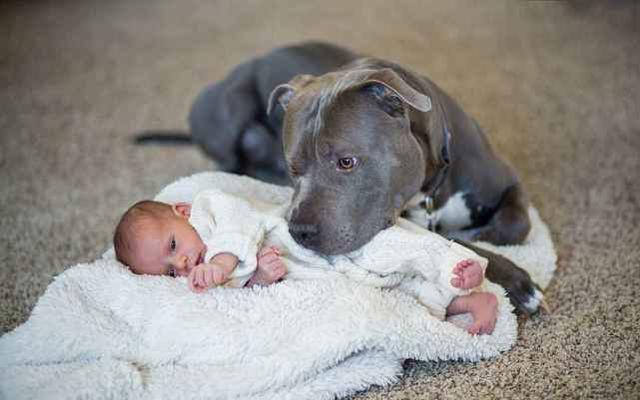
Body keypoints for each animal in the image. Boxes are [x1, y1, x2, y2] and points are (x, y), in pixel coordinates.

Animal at [138, 41, 544, 316]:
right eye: (294, 167)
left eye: (346, 162)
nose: (298, 232)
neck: (433, 185)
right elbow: (458, 242)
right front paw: (512, 276)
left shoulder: (509, 182)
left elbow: (516, 224)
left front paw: (485, 240)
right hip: (229, 106)